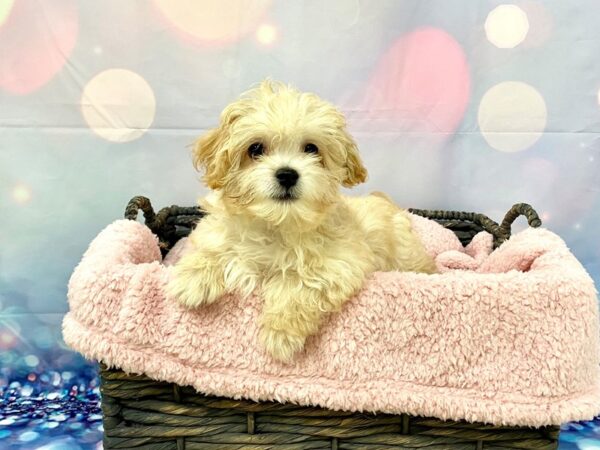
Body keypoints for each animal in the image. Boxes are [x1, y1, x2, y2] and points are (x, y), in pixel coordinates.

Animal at [166, 80, 434, 362]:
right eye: (255, 149)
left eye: (311, 148)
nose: (287, 174)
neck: (278, 223)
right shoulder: (219, 232)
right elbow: (217, 248)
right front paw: (193, 277)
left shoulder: (341, 262)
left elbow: (300, 283)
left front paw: (281, 332)